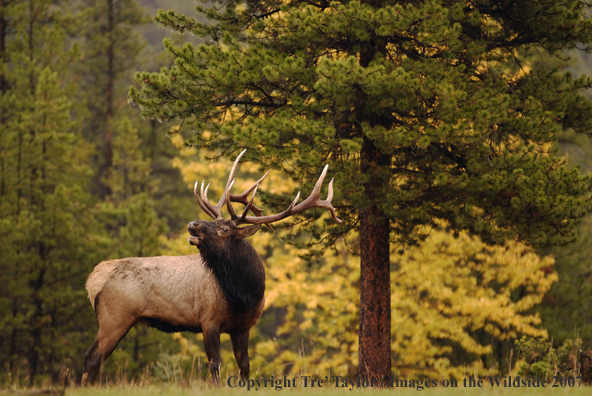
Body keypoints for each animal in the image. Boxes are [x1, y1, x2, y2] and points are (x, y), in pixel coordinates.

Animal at [83, 151, 342, 384]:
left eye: (224, 228)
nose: (193, 224)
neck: (244, 294)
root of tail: (93, 279)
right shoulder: (208, 319)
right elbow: (215, 364)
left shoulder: (243, 326)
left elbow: (244, 366)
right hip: (114, 317)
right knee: (92, 358)